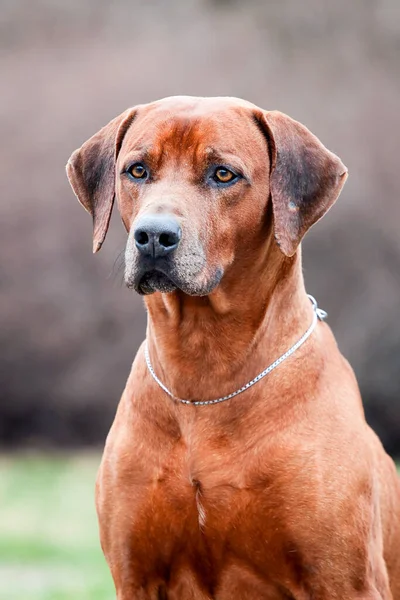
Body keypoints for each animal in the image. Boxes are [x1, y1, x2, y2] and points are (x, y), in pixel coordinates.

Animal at [66, 96, 400, 596]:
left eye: (223, 174)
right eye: (137, 170)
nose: (153, 237)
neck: (204, 372)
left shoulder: (345, 580)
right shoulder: (135, 576)